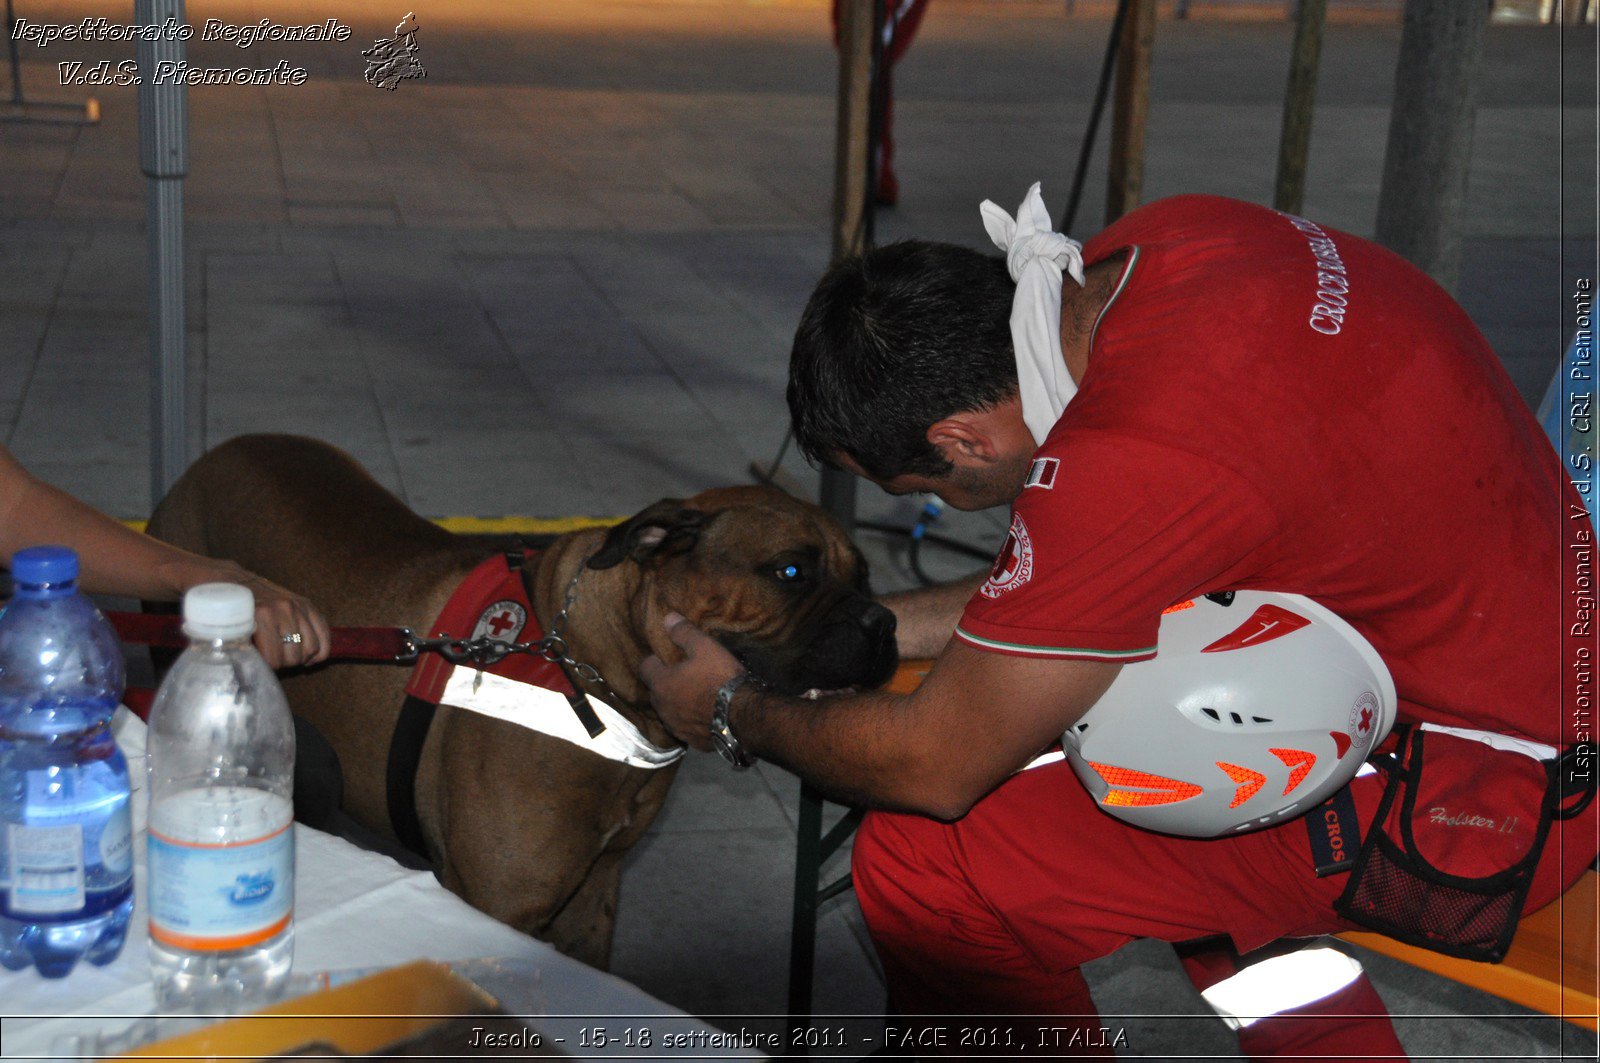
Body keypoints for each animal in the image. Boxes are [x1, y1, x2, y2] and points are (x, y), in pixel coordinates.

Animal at [147, 435, 902, 966]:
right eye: (791, 571)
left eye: (866, 575)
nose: (883, 623)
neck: (586, 671)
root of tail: (205, 461)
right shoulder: (499, 904)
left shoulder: (595, 896)